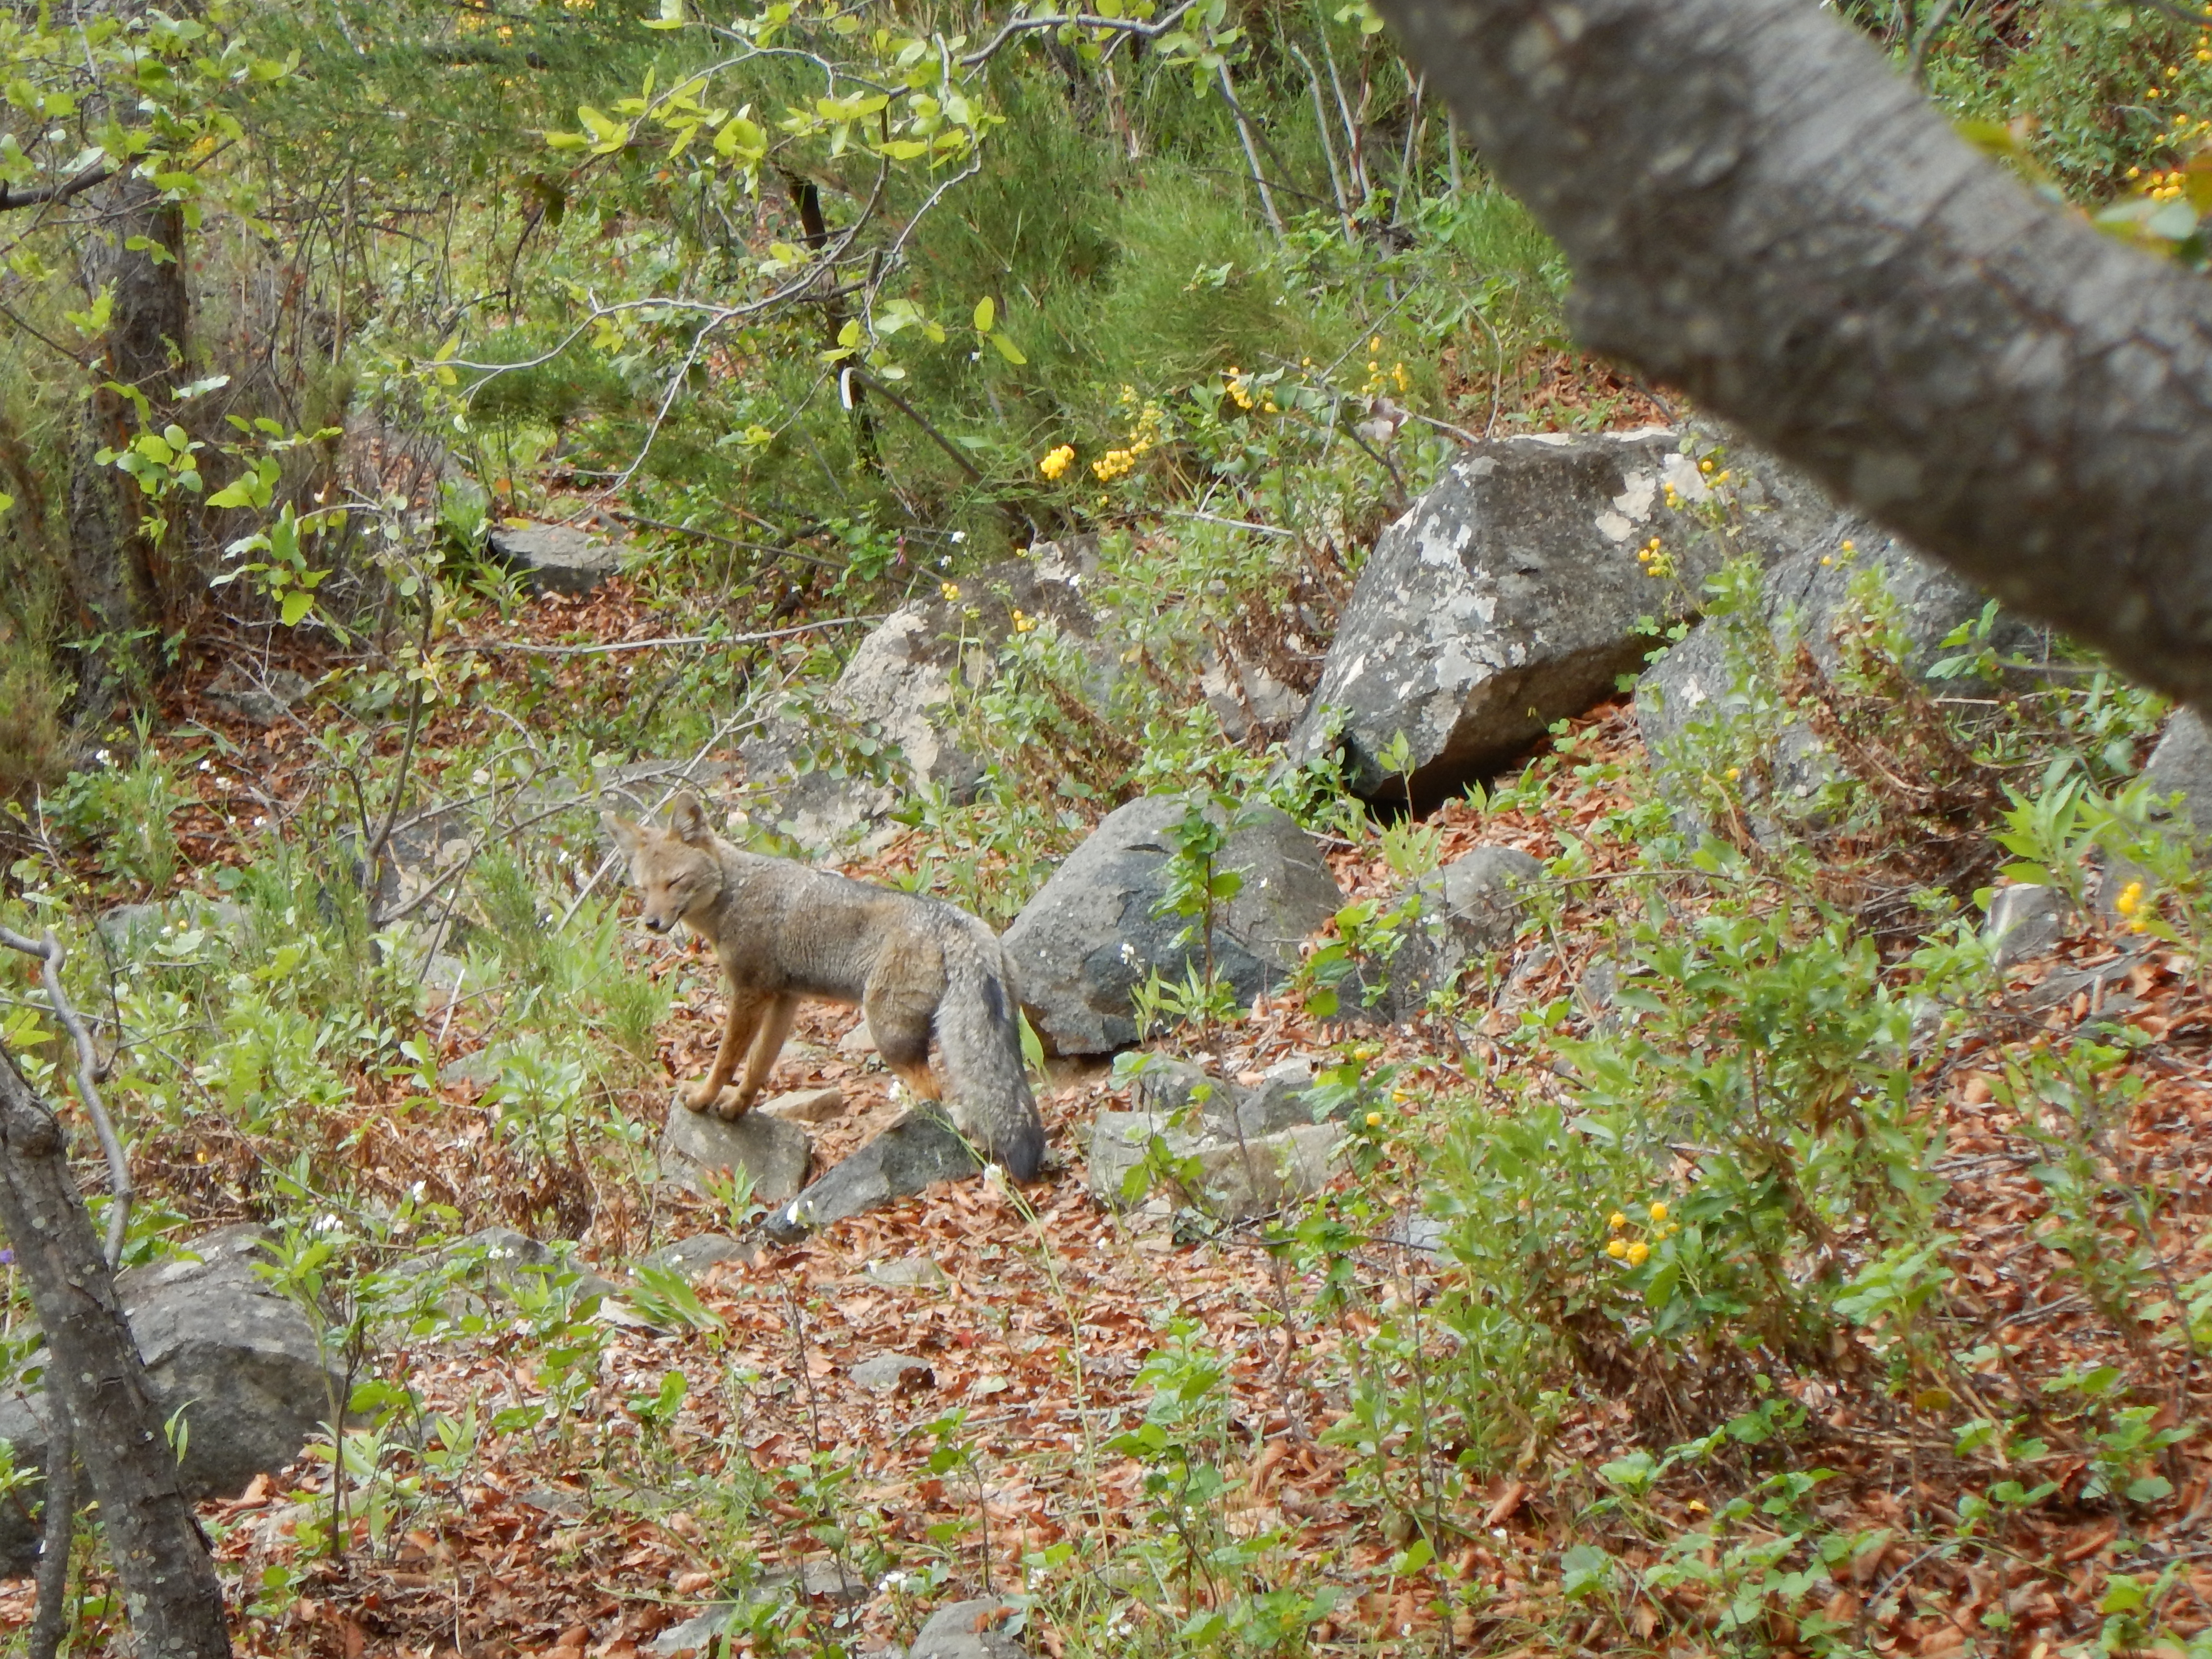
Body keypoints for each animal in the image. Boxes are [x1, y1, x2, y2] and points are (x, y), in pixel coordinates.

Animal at [597, 792, 1044, 1185]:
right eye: (644, 889)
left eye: (675, 882)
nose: (652, 923)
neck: (736, 893)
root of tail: (957, 921)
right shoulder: (784, 999)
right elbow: (758, 1065)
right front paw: (736, 1108)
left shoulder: (749, 994)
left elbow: (726, 1060)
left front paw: (704, 1099)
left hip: (888, 1035)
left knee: (934, 1095)